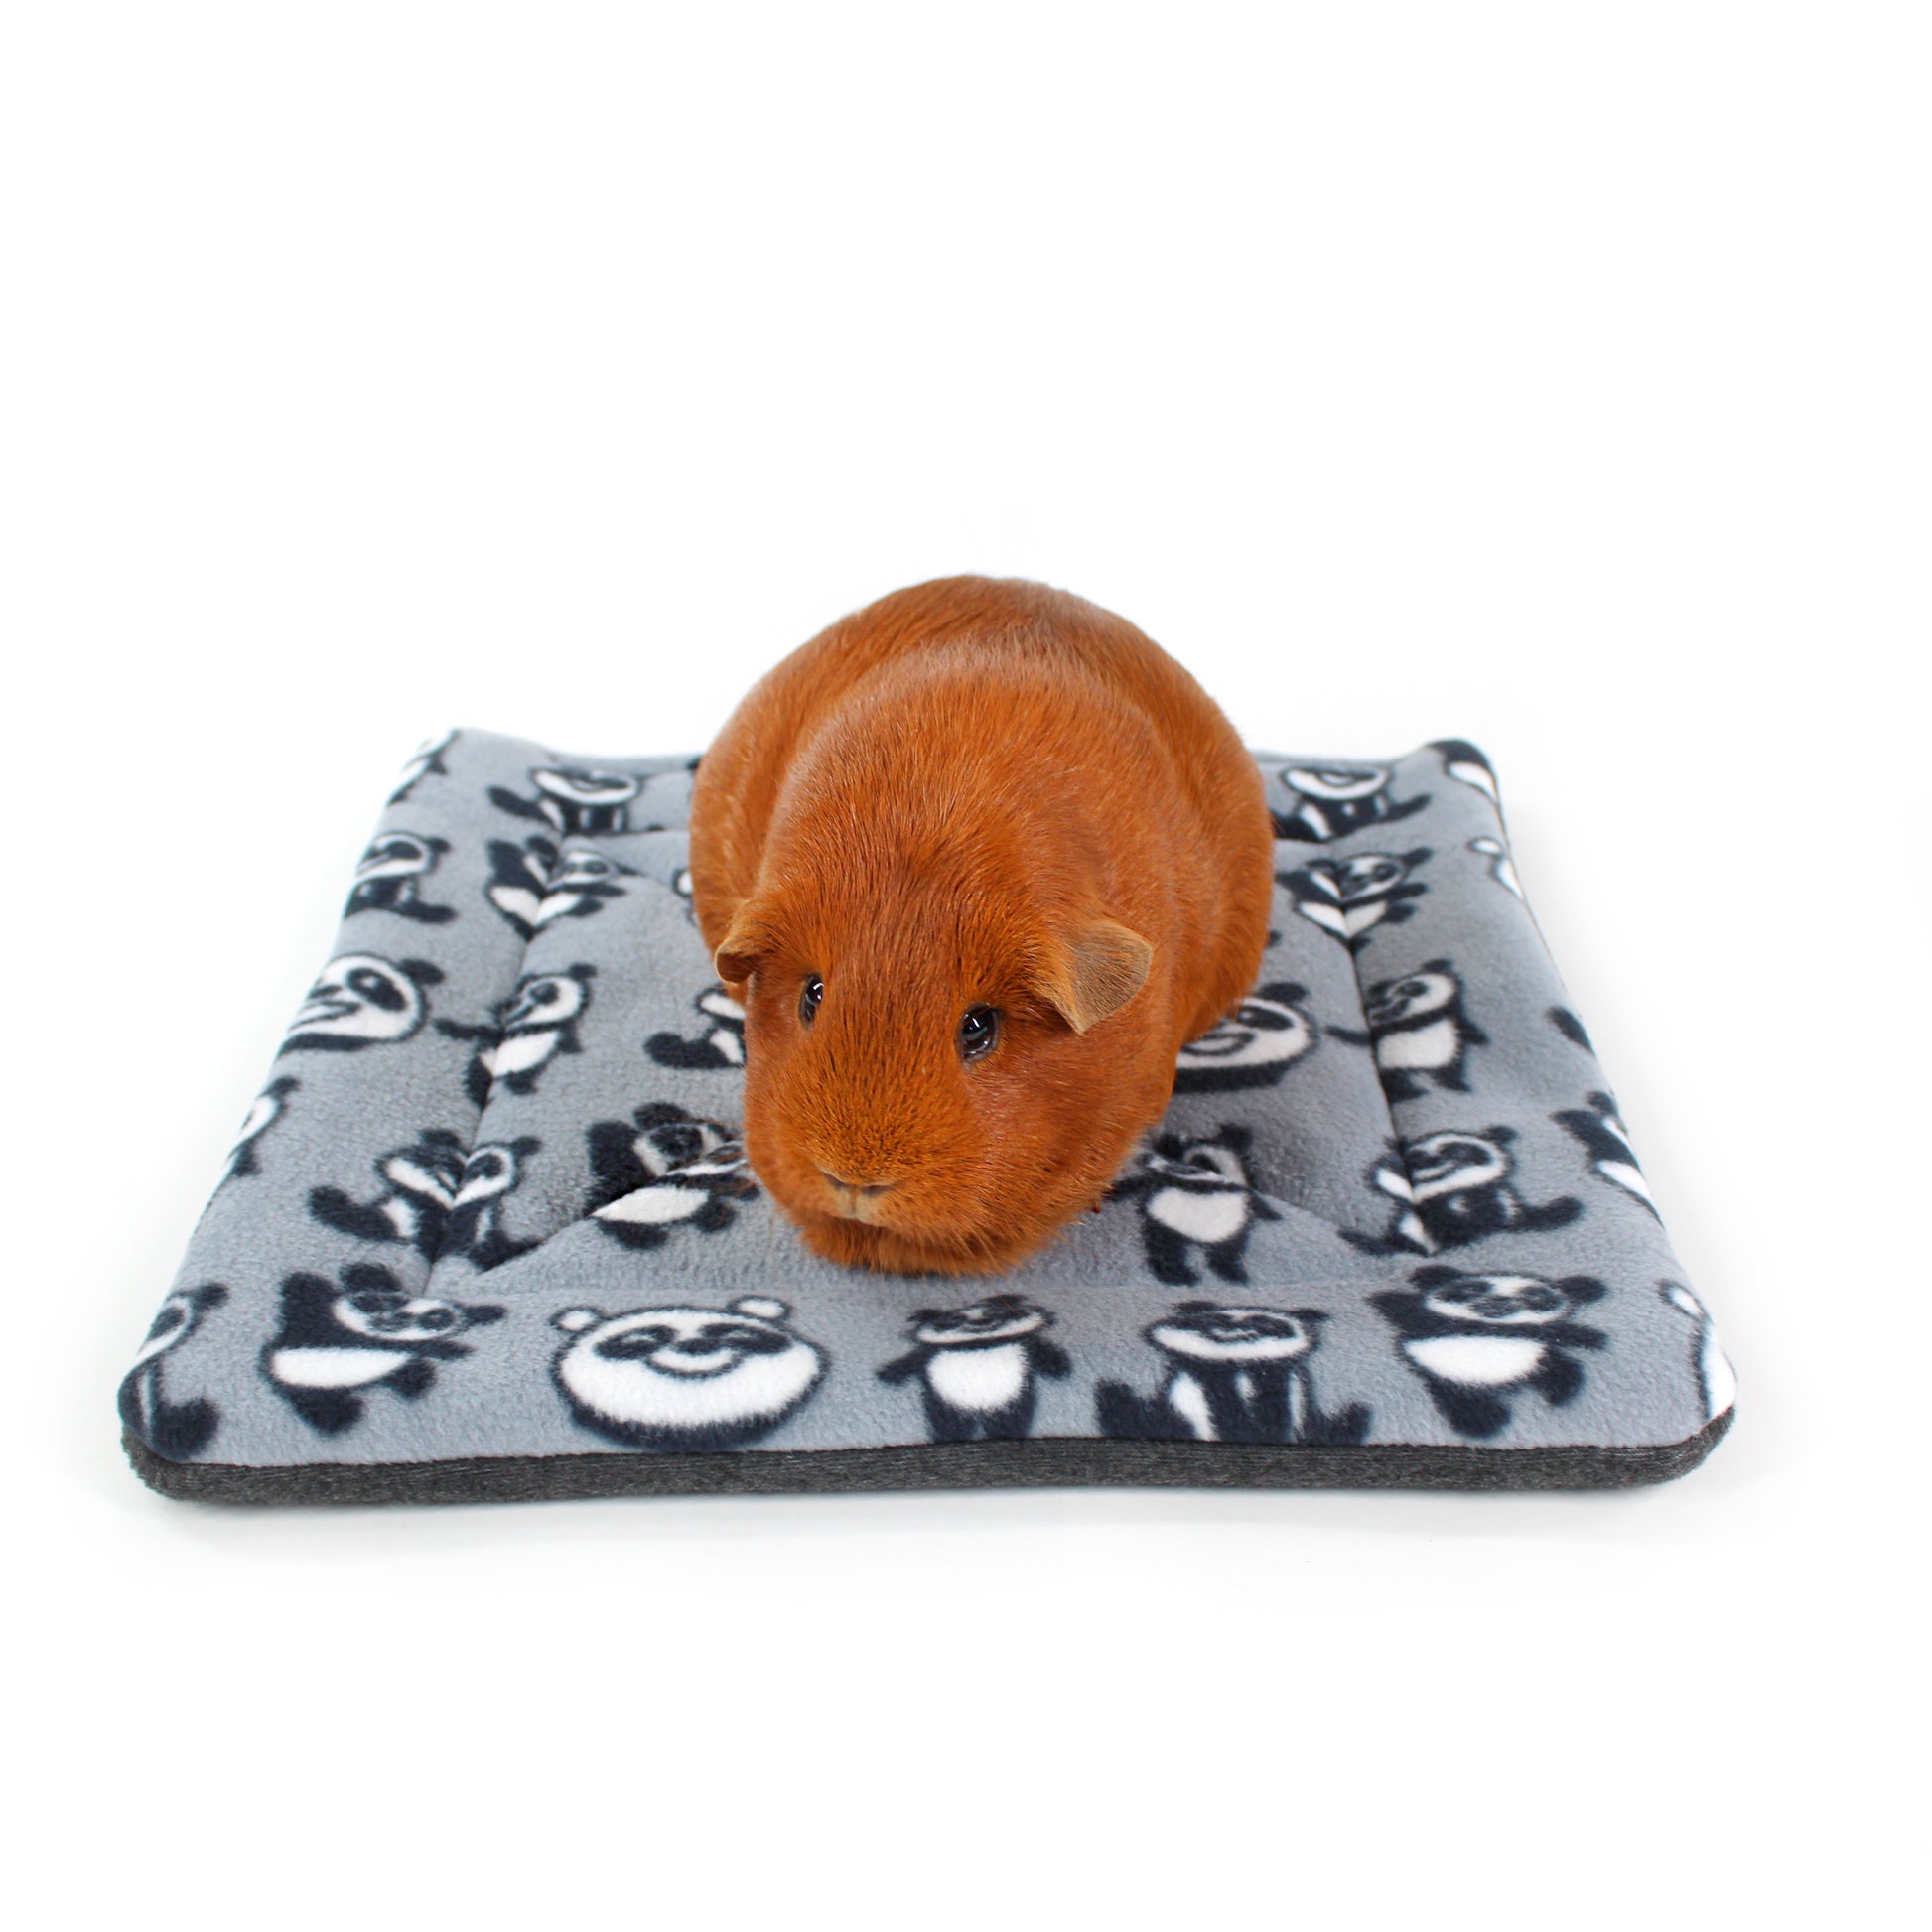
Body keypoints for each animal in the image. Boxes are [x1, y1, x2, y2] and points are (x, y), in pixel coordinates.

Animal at [877, 1295, 1071, 1441]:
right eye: (955, 1319)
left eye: (996, 1311)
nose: (980, 1321)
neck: (978, 1343)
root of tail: (979, 1404)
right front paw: (887, 1375)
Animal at [1371, 1267, 1608, 1439]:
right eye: (1472, 1289)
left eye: (1534, 1296)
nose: (1499, 1302)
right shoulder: (1428, 1325)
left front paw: (1588, 1336)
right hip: (1444, 1379)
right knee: (1465, 1403)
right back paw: (1484, 1422)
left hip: (1539, 1360)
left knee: (1563, 1372)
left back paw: (1559, 1396)